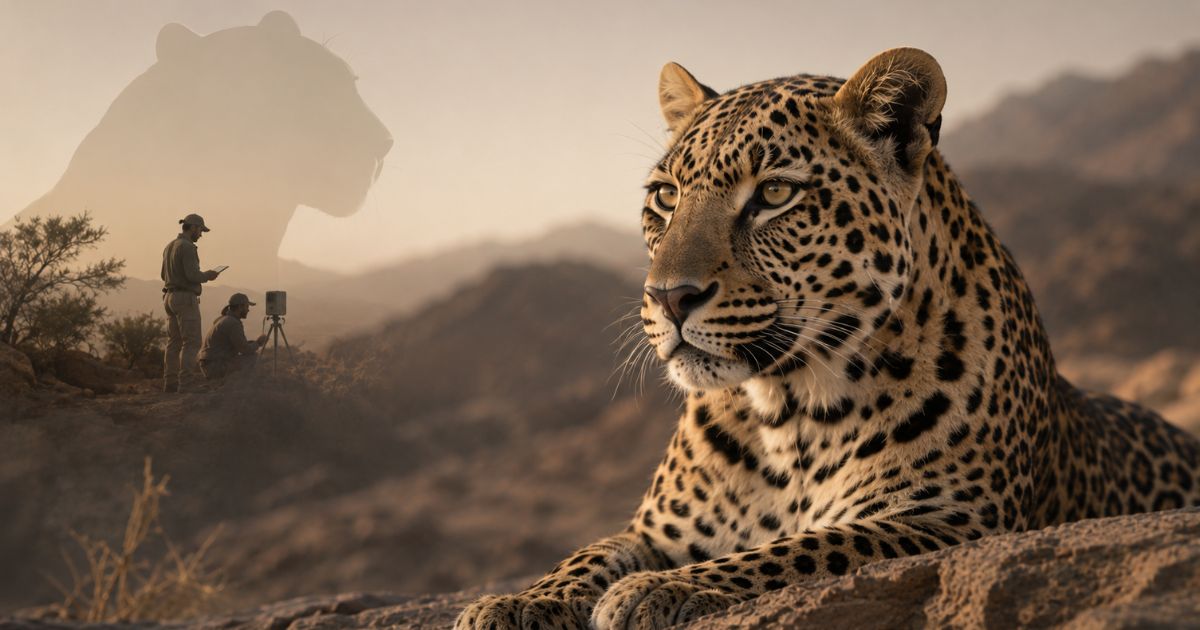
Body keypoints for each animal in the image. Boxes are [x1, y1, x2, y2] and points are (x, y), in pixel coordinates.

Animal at [456, 47, 1200, 630]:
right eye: (665, 197)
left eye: (774, 194)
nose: (669, 297)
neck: (786, 409)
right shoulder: (657, 530)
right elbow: (589, 553)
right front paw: (514, 601)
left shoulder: (945, 521)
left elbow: (795, 549)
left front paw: (658, 590)